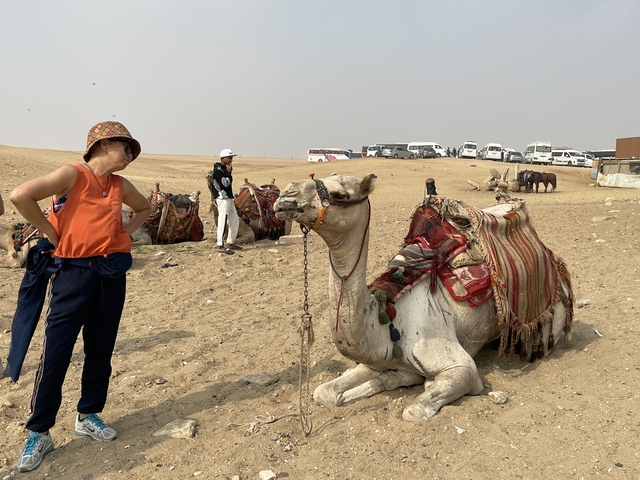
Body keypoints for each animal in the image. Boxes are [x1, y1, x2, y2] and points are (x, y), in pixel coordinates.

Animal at [274, 173, 573, 421]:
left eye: (339, 194)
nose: (286, 194)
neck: (390, 322)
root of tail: (556, 262)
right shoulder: (376, 359)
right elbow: (323, 392)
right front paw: (390, 379)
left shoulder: (462, 367)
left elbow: (414, 410)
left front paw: (414, 382)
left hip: (550, 323)